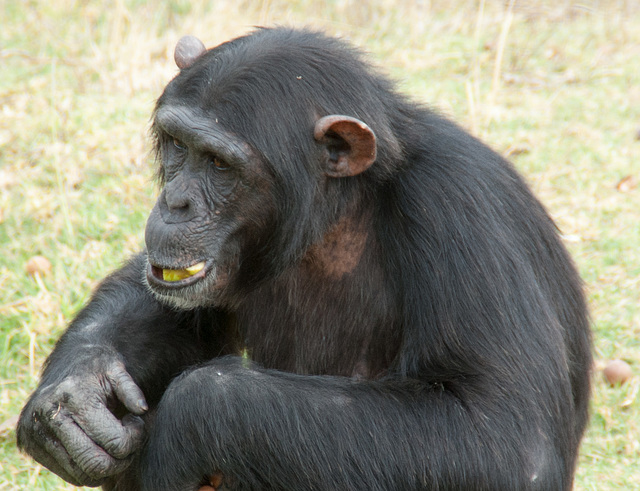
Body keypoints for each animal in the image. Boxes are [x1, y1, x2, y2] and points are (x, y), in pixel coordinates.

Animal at [17, 27, 592, 491]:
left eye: (219, 164)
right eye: (178, 145)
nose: (175, 202)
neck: (339, 211)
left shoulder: (461, 207)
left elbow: (503, 436)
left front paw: (190, 412)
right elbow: (177, 311)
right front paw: (77, 388)